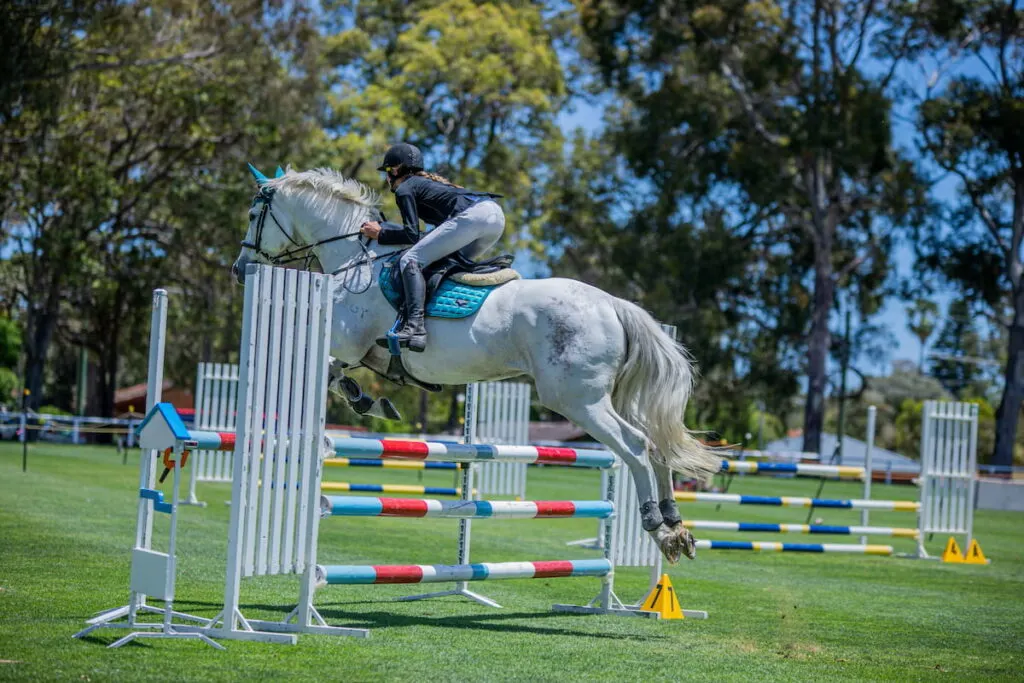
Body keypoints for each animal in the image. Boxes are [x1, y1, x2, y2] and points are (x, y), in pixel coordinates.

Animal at [233, 165, 720, 561]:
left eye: (255, 214)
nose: (240, 269)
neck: (356, 260)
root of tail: (614, 304)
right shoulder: (361, 354)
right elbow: (340, 377)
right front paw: (368, 400)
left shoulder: (349, 345)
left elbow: (333, 370)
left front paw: (368, 401)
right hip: (605, 398)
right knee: (656, 444)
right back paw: (677, 527)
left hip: (578, 401)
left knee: (636, 446)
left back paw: (658, 527)